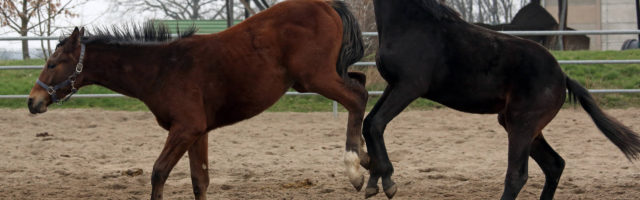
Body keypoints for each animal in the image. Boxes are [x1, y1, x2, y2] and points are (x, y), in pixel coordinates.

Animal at [27, 0, 370, 199]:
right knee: (362, 84)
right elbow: (199, 180)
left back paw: (355, 168)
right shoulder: (198, 132)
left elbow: (159, 172)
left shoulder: (185, 128)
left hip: (315, 78)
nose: (33, 101)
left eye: (53, 64)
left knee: (357, 97)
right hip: (319, 77)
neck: (162, 68)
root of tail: (325, 5)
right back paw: (370, 161)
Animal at [362, 0, 640, 199]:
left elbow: (376, 124)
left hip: (522, 124)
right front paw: (372, 178)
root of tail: (563, 77)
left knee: (517, 175)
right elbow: (368, 123)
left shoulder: (409, 87)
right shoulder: (393, 86)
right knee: (554, 165)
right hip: (519, 125)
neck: (412, 24)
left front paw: (387, 181)